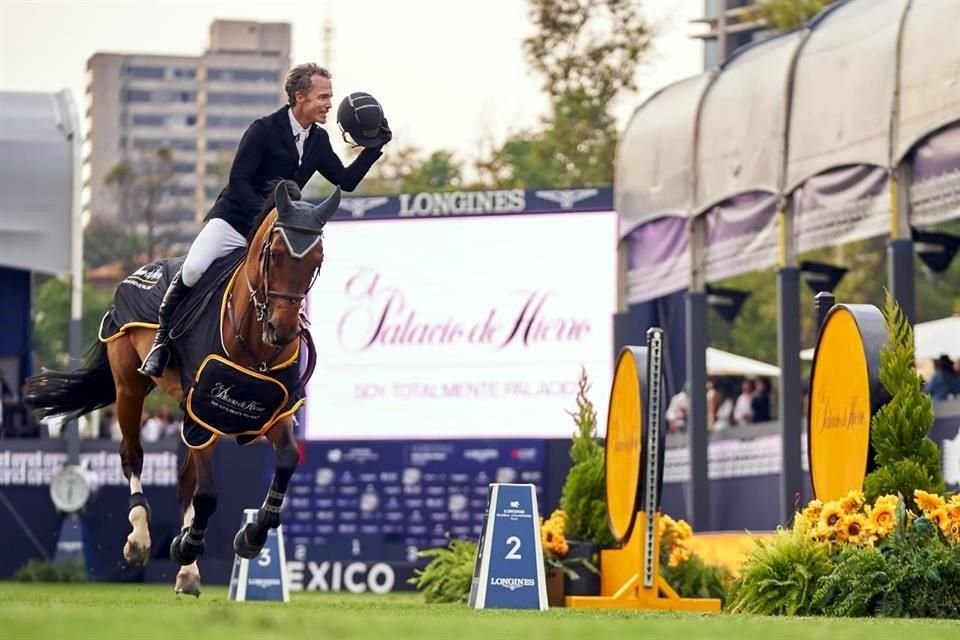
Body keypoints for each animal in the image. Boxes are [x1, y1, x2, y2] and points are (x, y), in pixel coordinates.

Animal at [24, 180, 336, 596]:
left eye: (316, 260)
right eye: (276, 255)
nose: (283, 330)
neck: (254, 339)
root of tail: (138, 272)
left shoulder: (270, 409)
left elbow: (285, 460)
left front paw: (252, 536)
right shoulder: (202, 410)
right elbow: (206, 494)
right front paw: (188, 544)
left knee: (184, 479)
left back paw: (188, 572)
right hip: (129, 387)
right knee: (132, 456)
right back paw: (140, 540)